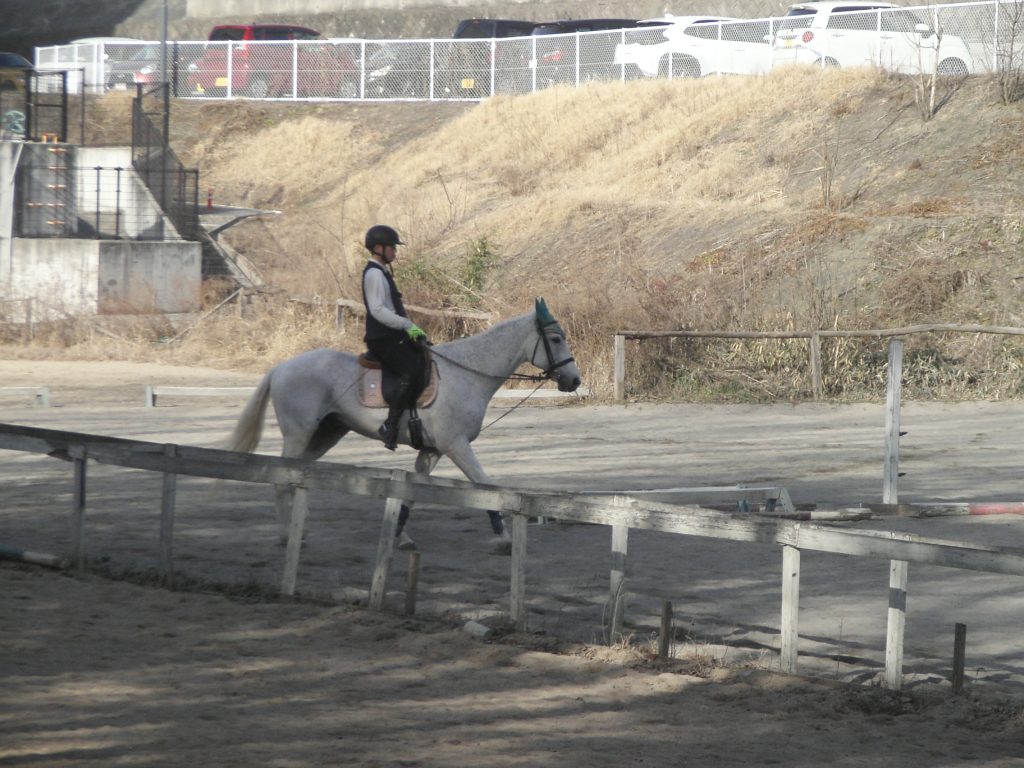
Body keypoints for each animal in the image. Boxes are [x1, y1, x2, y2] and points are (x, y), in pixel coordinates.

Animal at [226, 298, 582, 554]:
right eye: (555, 338)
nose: (574, 379)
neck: (467, 373)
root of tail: (281, 367)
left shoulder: (433, 450)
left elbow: (412, 491)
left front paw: (400, 537)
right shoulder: (456, 445)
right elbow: (485, 485)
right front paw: (505, 539)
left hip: (326, 434)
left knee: (296, 475)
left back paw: (298, 530)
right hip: (299, 433)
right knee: (282, 480)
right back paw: (286, 536)